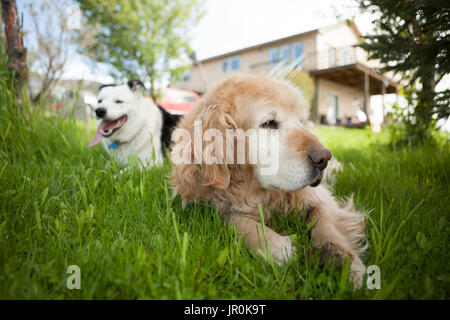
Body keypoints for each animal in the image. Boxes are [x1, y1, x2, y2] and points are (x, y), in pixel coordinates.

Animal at [171, 74, 368, 288]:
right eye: (269, 123)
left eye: (301, 121)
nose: (323, 158)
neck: (254, 191)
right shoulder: (209, 205)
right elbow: (235, 219)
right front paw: (274, 245)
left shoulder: (319, 198)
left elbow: (325, 222)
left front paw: (346, 263)